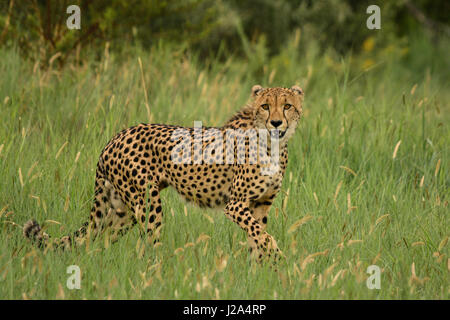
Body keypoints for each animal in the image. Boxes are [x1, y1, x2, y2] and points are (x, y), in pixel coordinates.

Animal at [25, 85, 306, 262]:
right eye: (266, 106)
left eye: (288, 106)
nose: (276, 123)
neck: (273, 144)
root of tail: (114, 137)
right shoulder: (235, 204)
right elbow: (263, 236)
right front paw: (279, 260)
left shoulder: (261, 203)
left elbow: (257, 237)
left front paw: (261, 272)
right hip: (147, 202)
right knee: (148, 242)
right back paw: (157, 275)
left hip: (121, 211)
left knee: (98, 239)